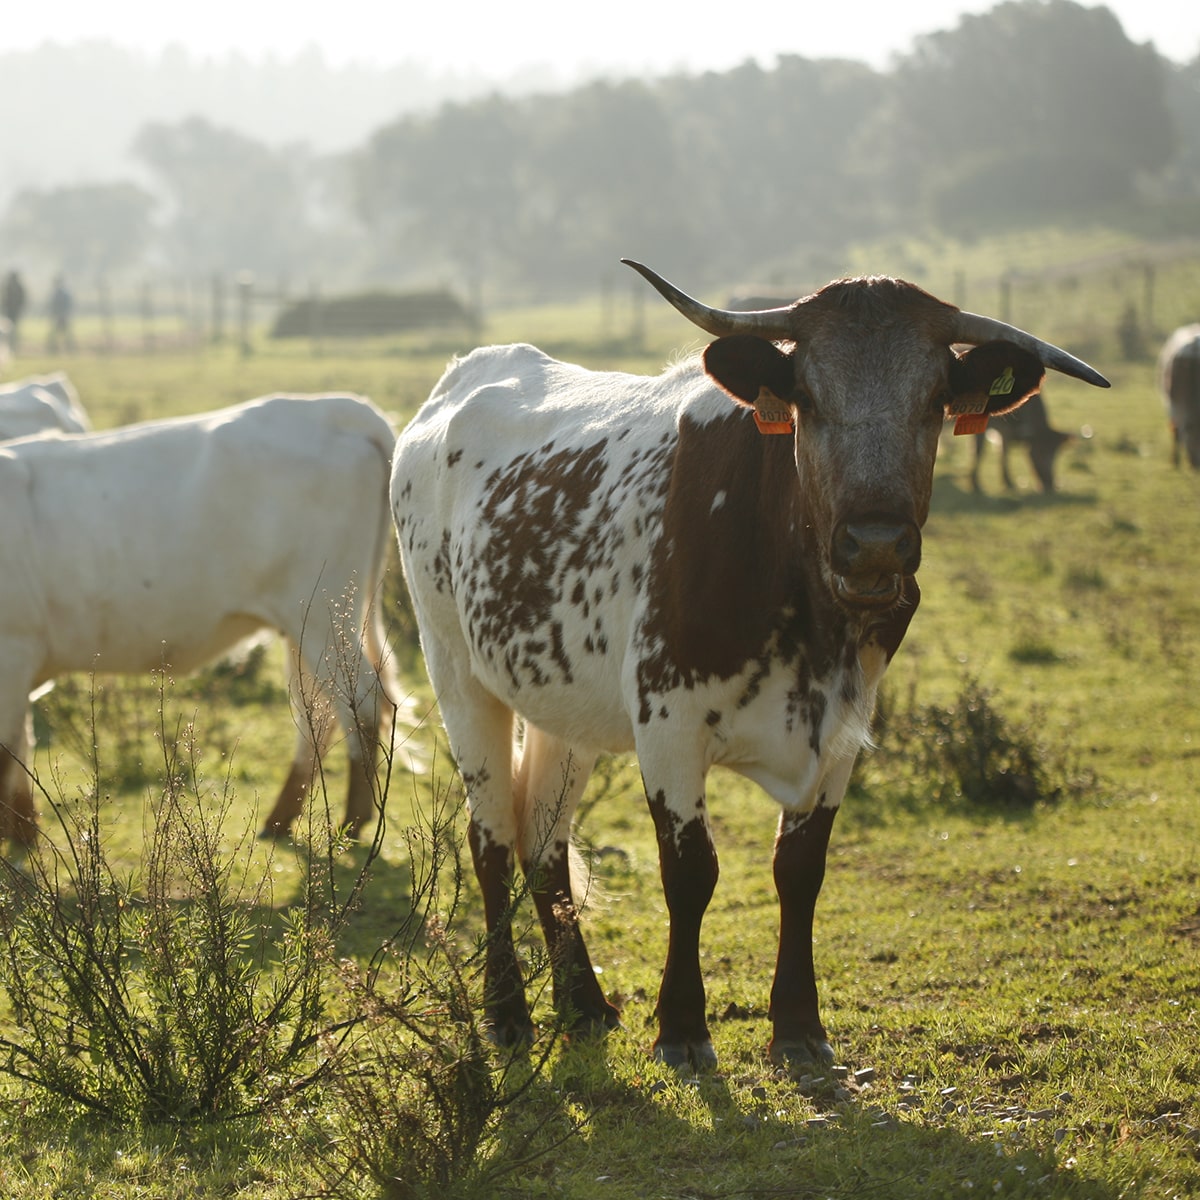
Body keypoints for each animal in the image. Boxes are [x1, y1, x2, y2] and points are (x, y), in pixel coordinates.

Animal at [0, 393, 403, 844]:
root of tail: (333, 406)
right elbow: (18, 745)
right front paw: (22, 832)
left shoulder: (13, 649)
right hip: (307, 624)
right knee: (316, 712)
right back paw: (281, 820)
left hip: (323, 614)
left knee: (361, 704)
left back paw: (352, 822)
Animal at [388, 260, 1108, 1070]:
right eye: (808, 402)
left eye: (934, 403)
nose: (875, 544)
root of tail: (461, 377)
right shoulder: (667, 725)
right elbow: (691, 872)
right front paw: (681, 1026)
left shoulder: (843, 730)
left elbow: (800, 871)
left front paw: (797, 1023)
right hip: (456, 670)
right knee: (490, 840)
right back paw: (507, 1012)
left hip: (560, 699)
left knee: (544, 840)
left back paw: (584, 1004)